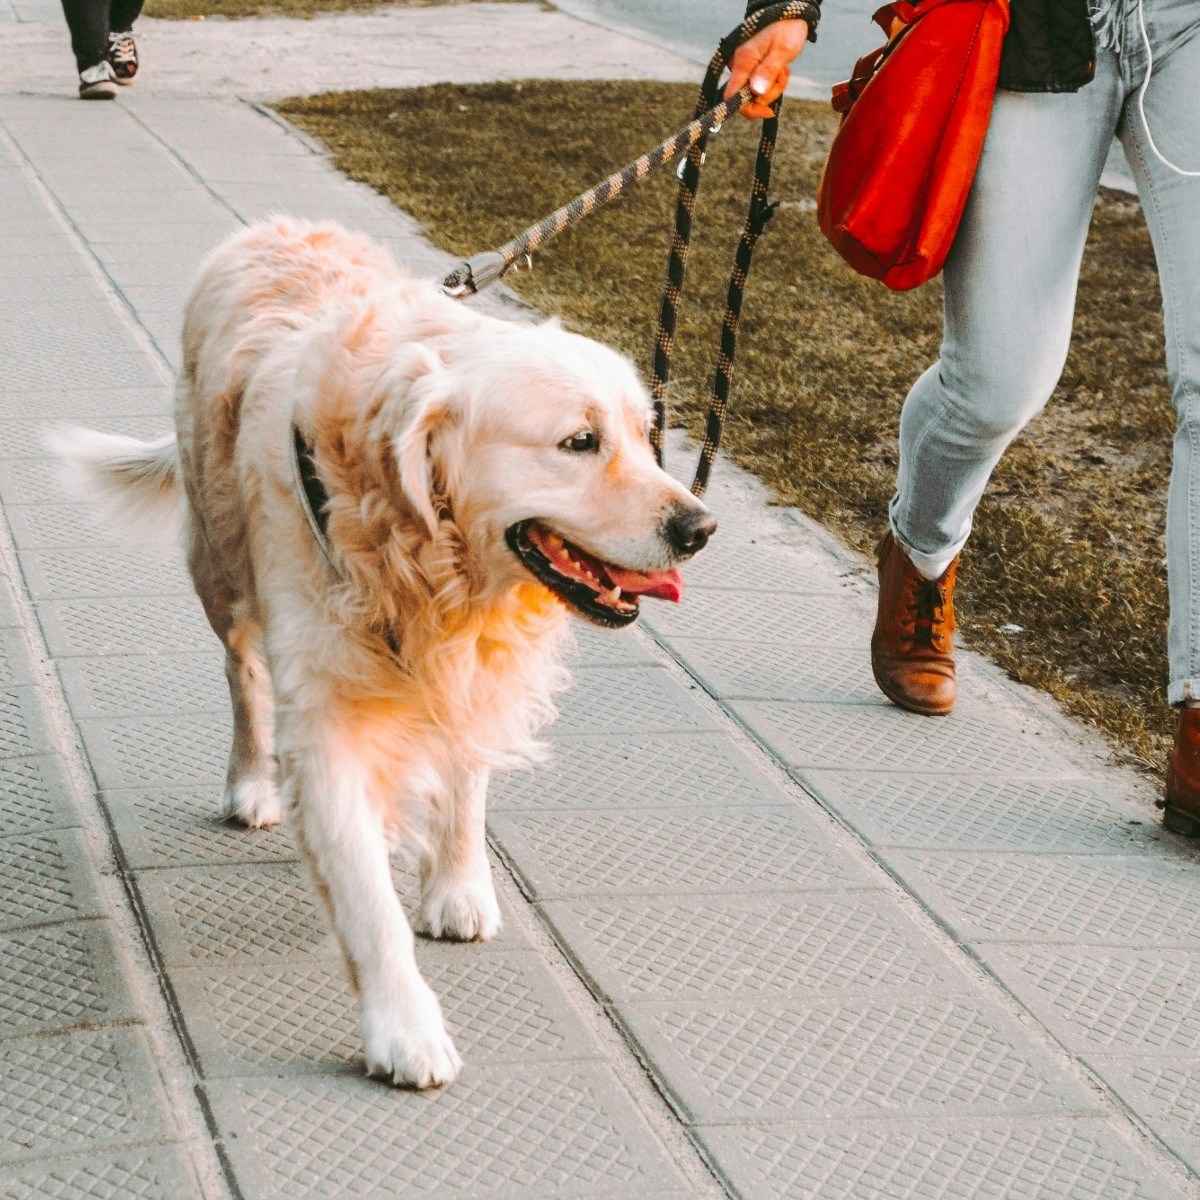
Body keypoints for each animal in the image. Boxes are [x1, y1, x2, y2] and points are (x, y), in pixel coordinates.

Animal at [51, 216, 710, 1089]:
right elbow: (368, 903)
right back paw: (250, 781)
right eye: (579, 441)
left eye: (645, 435)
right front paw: (404, 1029)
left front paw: (458, 886)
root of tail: (273, 226)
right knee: (242, 672)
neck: (426, 557)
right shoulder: (328, 724)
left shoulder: (471, 669)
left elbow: (465, 779)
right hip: (219, 565)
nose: (700, 527)